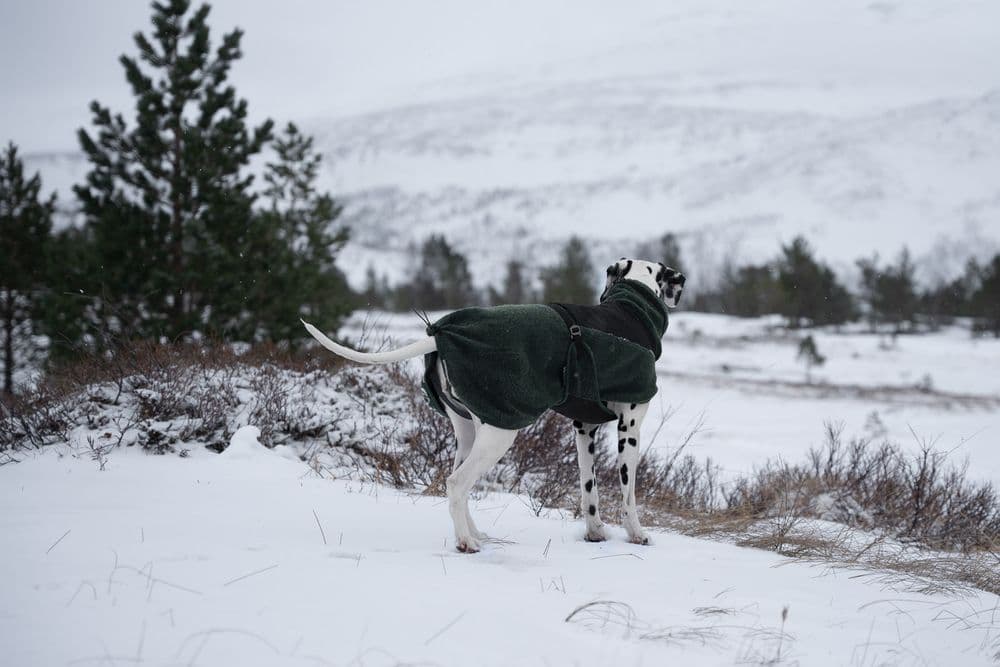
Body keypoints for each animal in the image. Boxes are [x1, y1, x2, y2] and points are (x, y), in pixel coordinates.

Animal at [300, 258, 684, 552]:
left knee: (456, 484)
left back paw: (474, 533)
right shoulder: (629, 428)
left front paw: (594, 534)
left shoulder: (583, 430)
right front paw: (636, 534)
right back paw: (466, 543)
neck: (629, 312)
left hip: (469, 433)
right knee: (457, 484)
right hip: (499, 434)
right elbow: (628, 494)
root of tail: (441, 332)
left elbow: (588, 489)